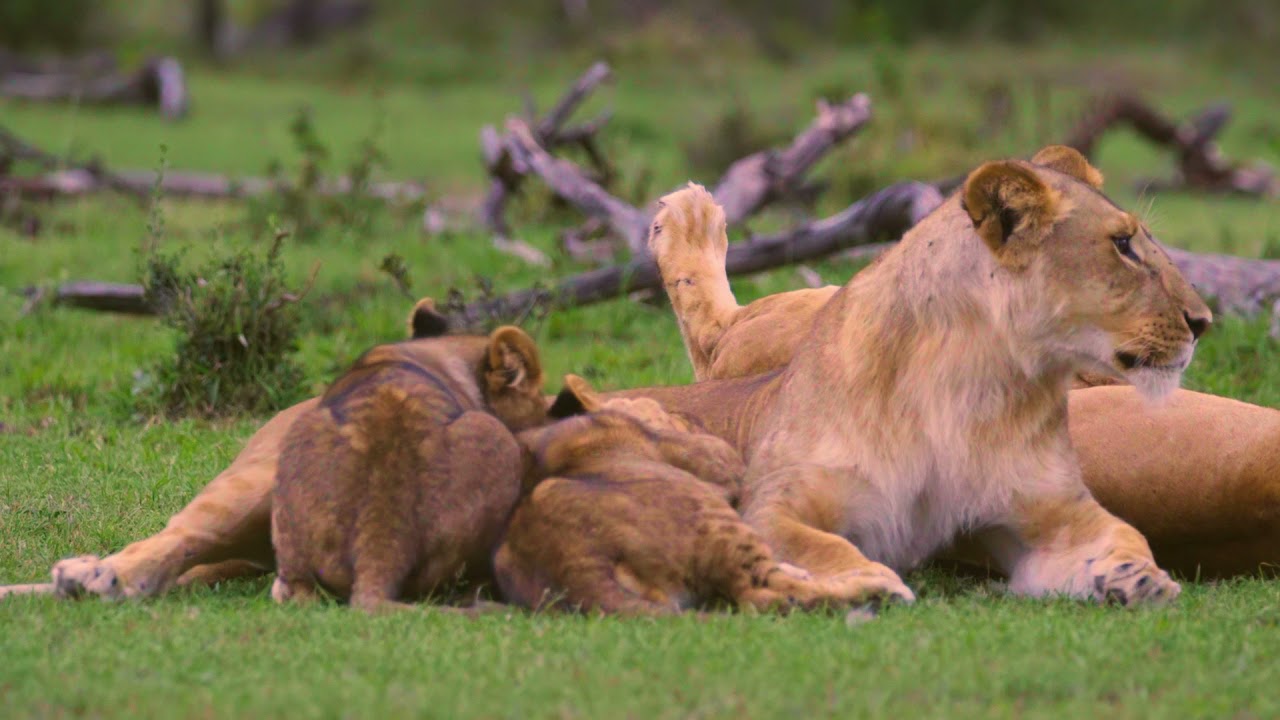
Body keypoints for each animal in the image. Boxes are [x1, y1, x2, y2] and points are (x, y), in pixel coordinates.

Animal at [494, 375, 889, 615]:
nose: (692, 420)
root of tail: (574, 562)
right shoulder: (723, 465)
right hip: (718, 523)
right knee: (762, 594)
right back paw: (880, 590)